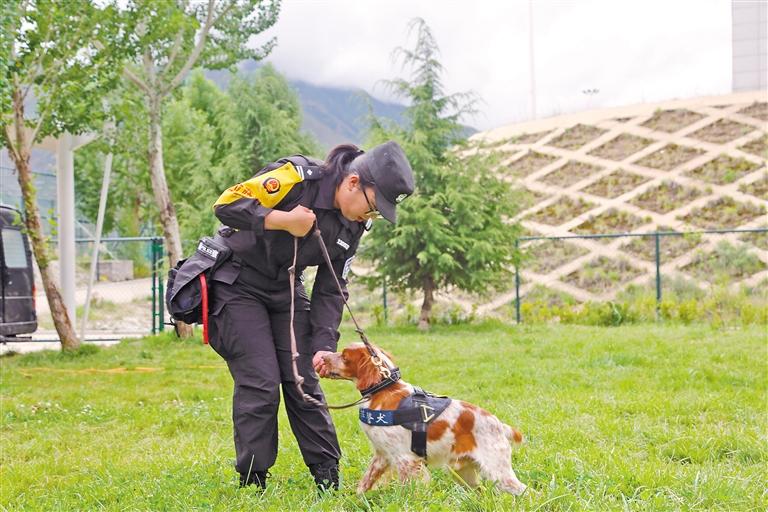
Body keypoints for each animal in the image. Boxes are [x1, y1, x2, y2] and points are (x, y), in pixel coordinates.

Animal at [320, 342, 528, 494]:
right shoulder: (382, 455)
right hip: (463, 473)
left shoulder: (406, 460)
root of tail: (499, 425)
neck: (383, 390)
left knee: (527, 492)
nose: (322, 357)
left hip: (498, 472)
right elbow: (363, 485)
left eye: (344, 356)